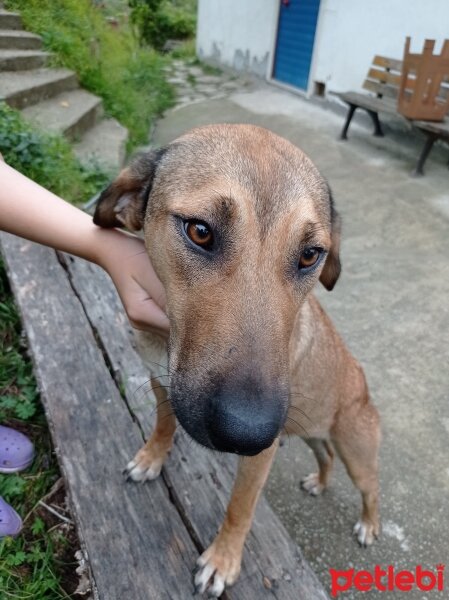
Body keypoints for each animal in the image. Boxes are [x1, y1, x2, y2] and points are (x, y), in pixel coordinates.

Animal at [93, 124, 380, 596]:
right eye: (200, 231)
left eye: (310, 254)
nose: (248, 431)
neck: (168, 338)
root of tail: (360, 379)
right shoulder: (162, 384)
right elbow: (163, 425)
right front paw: (152, 457)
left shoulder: (259, 459)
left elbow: (240, 507)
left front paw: (223, 560)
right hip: (312, 433)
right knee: (325, 457)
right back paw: (319, 482)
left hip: (356, 450)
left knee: (370, 488)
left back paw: (370, 525)